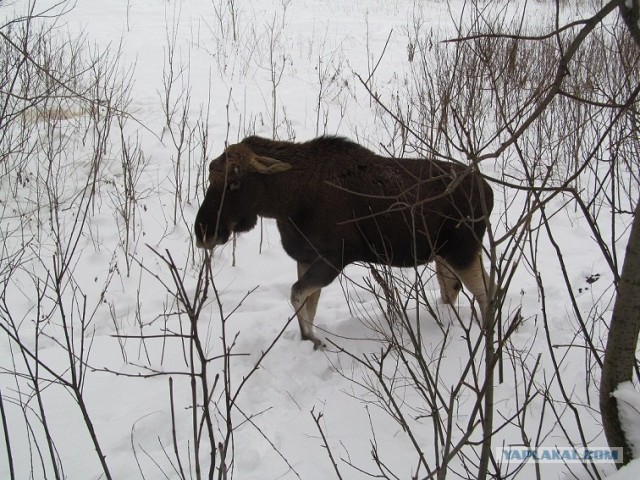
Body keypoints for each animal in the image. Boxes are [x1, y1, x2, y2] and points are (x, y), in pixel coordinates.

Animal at [195, 136, 496, 348]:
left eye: (235, 182)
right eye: (210, 176)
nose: (203, 232)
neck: (287, 204)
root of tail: (490, 191)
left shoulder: (334, 256)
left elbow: (297, 294)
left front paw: (315, 340)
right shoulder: (305, 257)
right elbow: (308, 303)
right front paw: (308, 340)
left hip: (463, 249)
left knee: (485, 290)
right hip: (444, 255)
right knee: (454, 290)